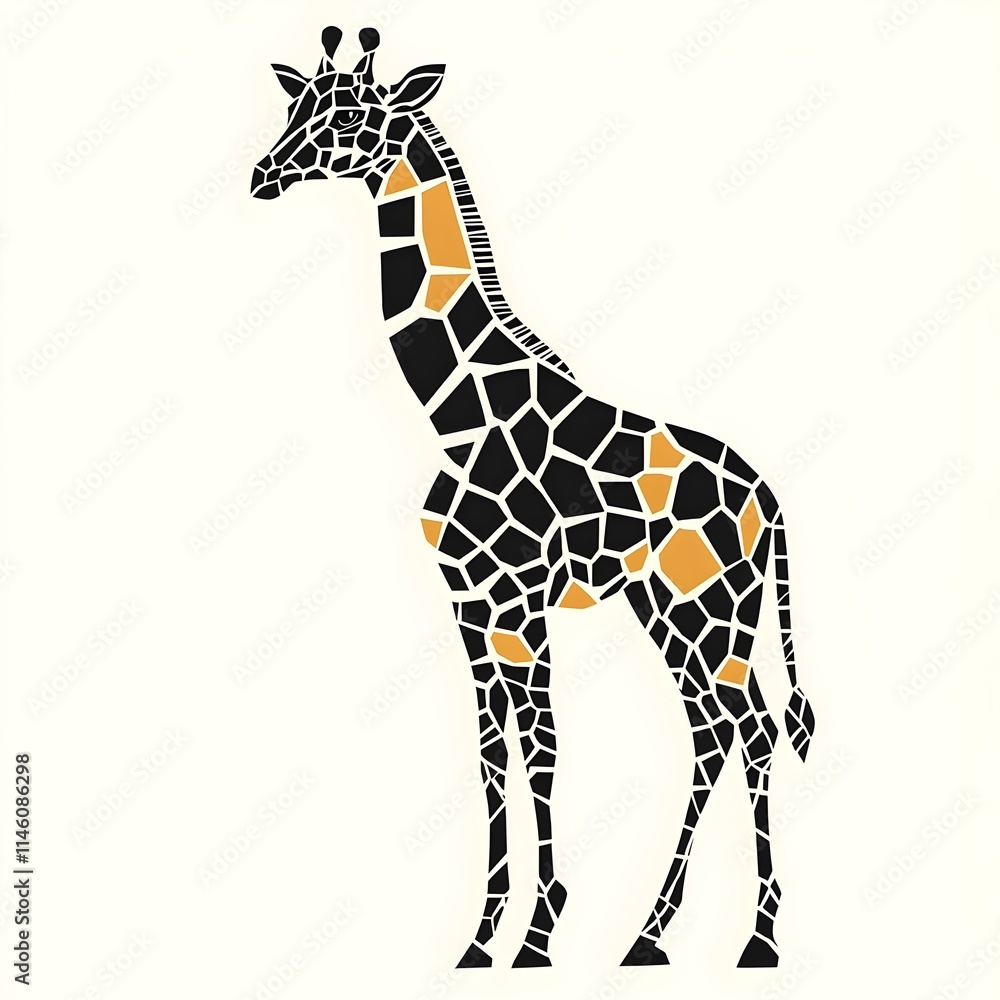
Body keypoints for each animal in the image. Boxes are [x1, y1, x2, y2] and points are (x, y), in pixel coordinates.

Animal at [251, 26, 816, 969]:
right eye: (297, 106)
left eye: (355, 118)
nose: (263, 175)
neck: (452, 415)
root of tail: (768, 501)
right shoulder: (471, 605)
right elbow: (493, 755)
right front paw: (483, 938)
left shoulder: (523, 600)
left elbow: (544, 748)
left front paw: (540, 934)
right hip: (670, 613)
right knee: (713, 734)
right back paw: (649, 935)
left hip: (714, 611)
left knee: (756, 731)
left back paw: (761, 939)